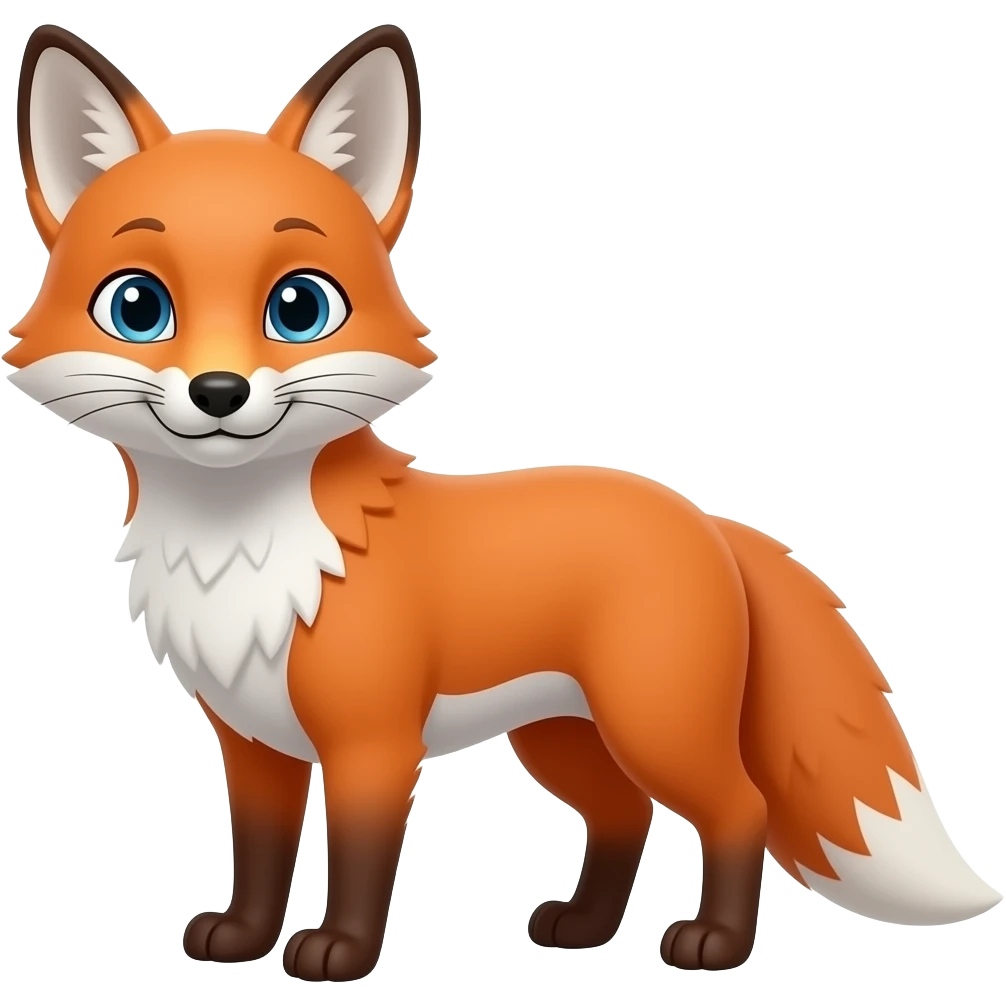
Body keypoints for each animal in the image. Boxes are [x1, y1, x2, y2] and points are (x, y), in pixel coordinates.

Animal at [7, 22, 1001, 982]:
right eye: (139, 307)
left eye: (299, 308)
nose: (220, 392)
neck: (244, 548)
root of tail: (706, 519)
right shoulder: (254, 744)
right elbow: (257, 856)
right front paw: (243, 938)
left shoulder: (374, 743)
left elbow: (358, 861)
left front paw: (340, 955)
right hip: (562, 738)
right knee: (624, 817)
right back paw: (585, 929)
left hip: (654, 723)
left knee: (738, 808)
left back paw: (715, 944)